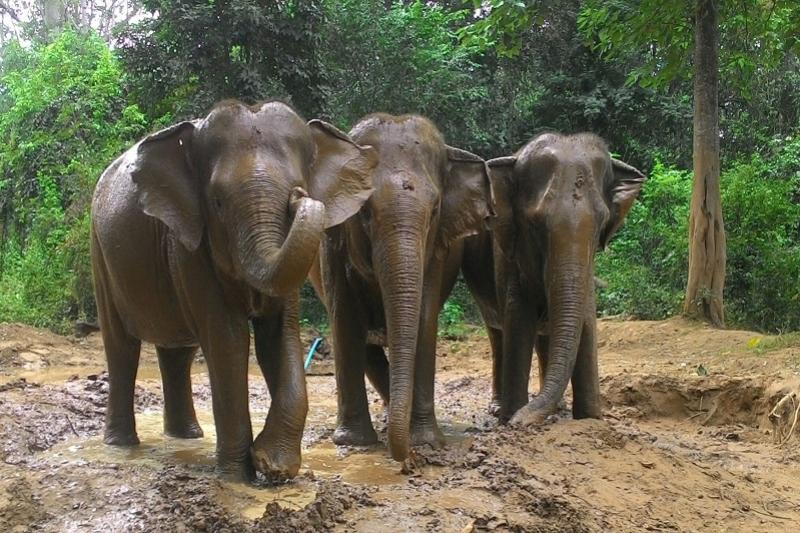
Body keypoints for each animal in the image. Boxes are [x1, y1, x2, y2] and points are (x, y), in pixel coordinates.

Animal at [91, 100, 377, 481]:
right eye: (217, 203)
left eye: (299, 185)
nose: (299, 198)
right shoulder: (189, 244)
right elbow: (228, 338)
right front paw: (238, 475)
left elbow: (279, 335)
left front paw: (273, 466)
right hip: (100, 252)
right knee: (121, 346)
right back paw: (121, 444)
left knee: (178, 350)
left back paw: (186, 436)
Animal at [309, 114, 493, 462]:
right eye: (364, 211)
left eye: (435, 211)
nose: (406, 460)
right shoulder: (331, 241)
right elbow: (345, 319)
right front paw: (354, 442)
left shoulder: (437, 250)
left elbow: (424, 319)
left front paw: (426, 441)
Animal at [462, 132, 646, 426]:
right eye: (535, 224)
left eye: (602, 222)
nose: (519, 421)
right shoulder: (507, 250)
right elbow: (518, 317)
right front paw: (511, 416)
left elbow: (586, 318)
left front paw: (589, 418)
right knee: (497, 332)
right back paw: (500, 408)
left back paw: (556, 408)